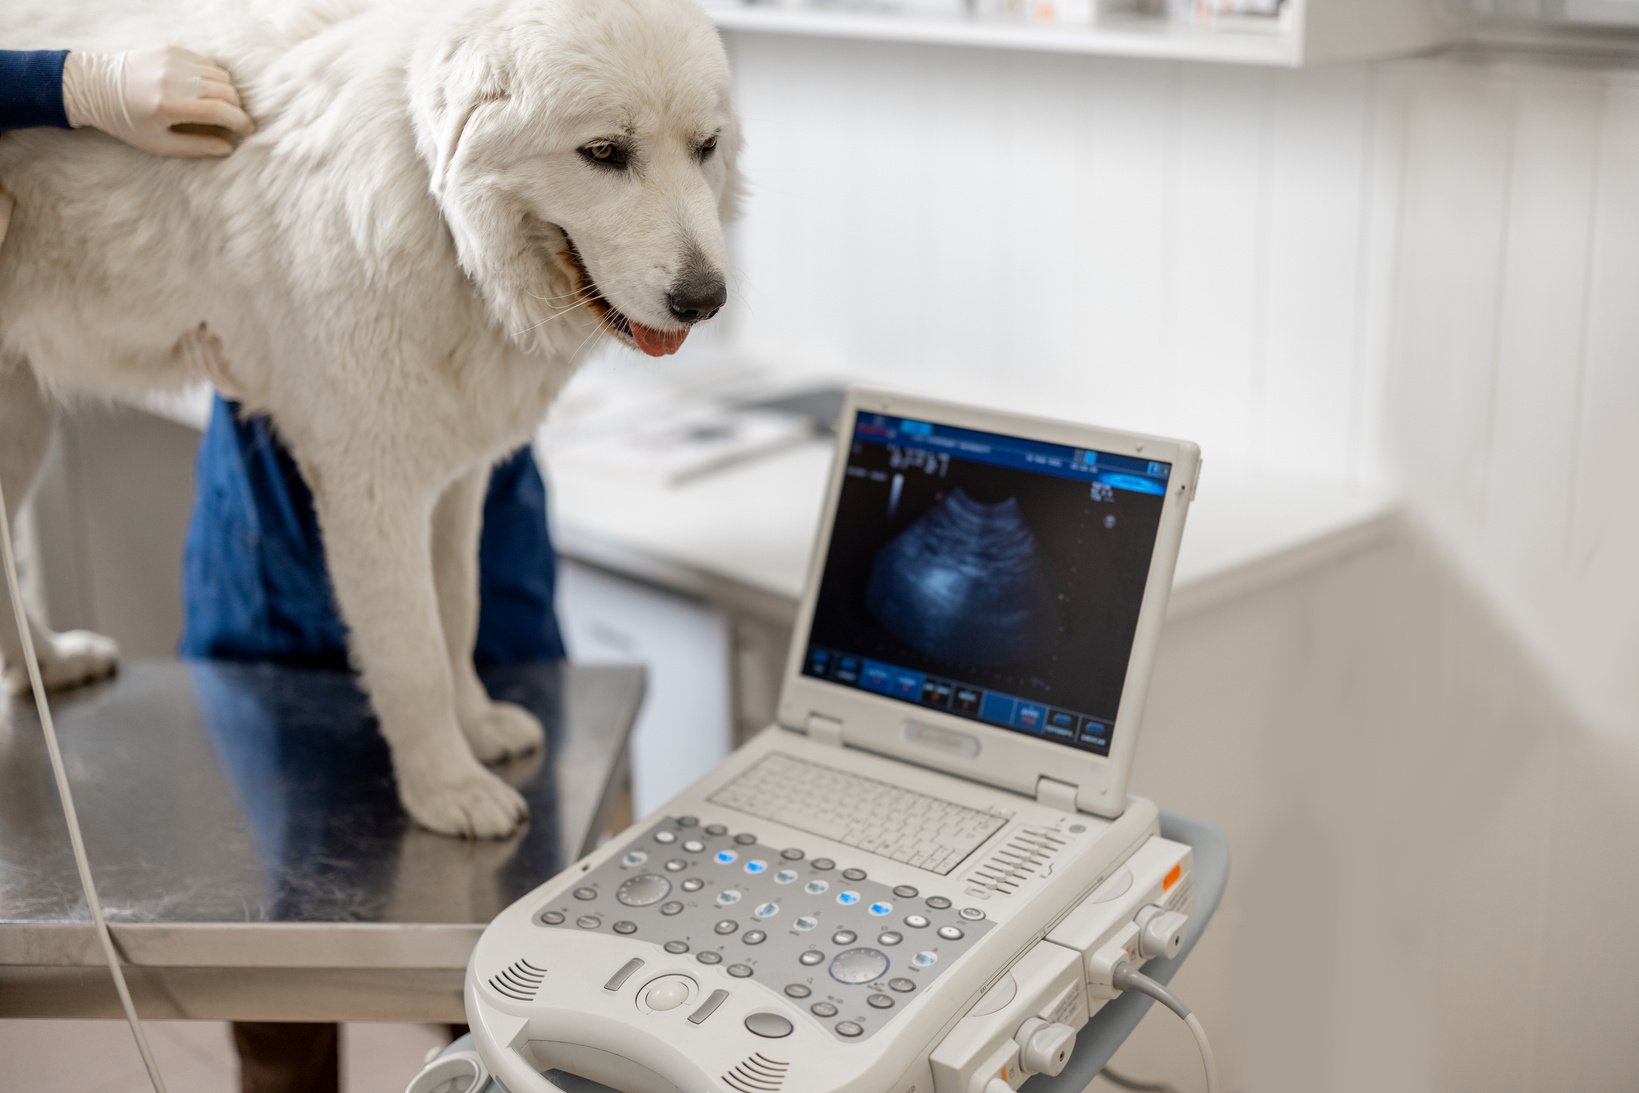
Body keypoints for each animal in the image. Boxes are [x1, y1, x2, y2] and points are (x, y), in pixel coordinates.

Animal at [0, 0, 744, 839]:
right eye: (604, 153)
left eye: (705, 148)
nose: (705, 299)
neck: (441, 216)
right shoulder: (371, 488)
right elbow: (412, 650)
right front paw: (445, 787)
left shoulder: (454, 481)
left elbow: (457, 611)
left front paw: (476, 725)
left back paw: (49, 664)